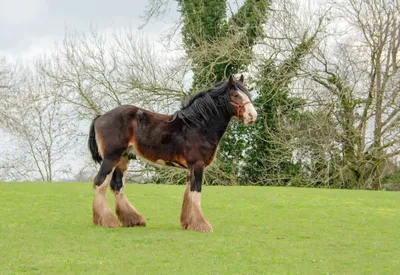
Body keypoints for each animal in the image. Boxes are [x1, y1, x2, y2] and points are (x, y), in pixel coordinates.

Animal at [87, 75, 256, 233]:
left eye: (247, 93)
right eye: (236, 95)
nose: (252, 115)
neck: (197, 126)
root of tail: (101, 117)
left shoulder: (191, 167)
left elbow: (188, 193)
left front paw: (188, 223)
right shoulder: (198, 165)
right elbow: (196, 192)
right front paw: (201, 225)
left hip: (123, 158)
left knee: (117, 185)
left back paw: (132, 220)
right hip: (111, 157)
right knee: (100, 182)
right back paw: (107, 221)